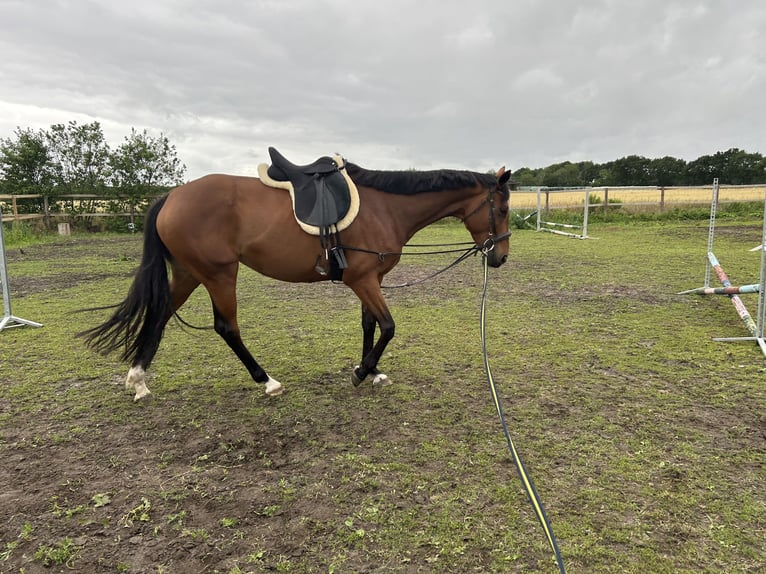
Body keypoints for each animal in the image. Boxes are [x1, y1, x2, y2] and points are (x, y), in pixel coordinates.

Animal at [79, 157, 512, 401]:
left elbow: (369, 325)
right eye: (504, 208)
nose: (501, 257)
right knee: (226, 326)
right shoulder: (363, 280)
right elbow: (388, 327)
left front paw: (371, 371)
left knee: (161, 313)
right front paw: (361, 373)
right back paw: (267, 381)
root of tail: (171, 195)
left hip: (189, 272)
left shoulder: (368, 279)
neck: (384, 207)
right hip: (218, 273)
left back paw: (138, 379)